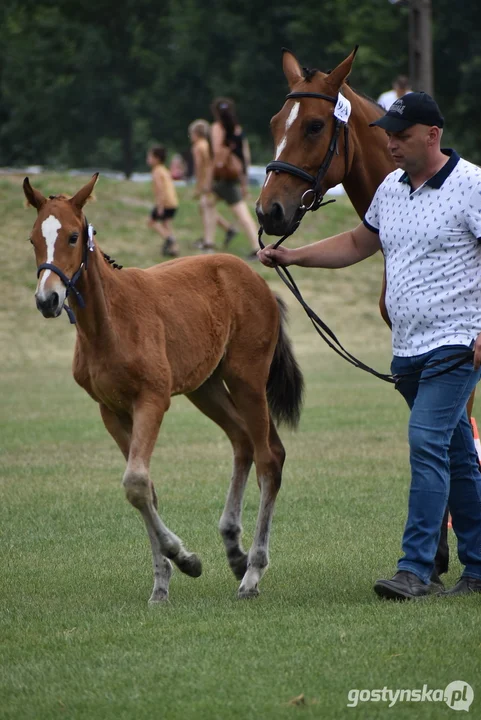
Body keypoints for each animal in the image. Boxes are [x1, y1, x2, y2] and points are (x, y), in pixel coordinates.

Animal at [24, 174, 302, 600]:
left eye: (72, 236)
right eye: (33, 239)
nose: (47, 299)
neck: (110, 324)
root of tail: (258, 280)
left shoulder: (151, 400)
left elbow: (136, 482)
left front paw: (182, 557)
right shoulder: (110, 410)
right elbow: (146, 487)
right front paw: (162, 582)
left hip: (247, 378)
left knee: (269, 457)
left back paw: (253, 572)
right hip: (205, 387)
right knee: (242, 440)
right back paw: (234, 550)